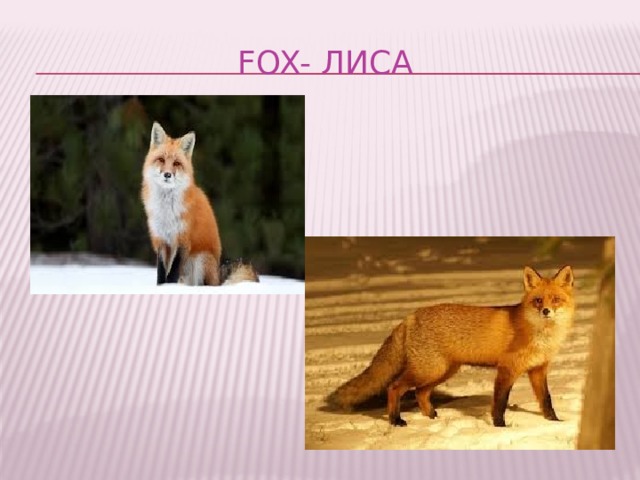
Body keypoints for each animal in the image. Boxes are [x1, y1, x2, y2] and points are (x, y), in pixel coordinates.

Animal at [141, 122, 258, 286]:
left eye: (176, 163)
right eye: (161, 160)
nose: (167, 174)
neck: (167, 210)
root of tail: (217, 277)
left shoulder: (183, 240)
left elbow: (172, 274)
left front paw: (169, 288)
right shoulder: (161, 240)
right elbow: (161, 273)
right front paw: (161, 288)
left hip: (201, 259)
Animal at [327, 265, 576, 427]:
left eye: (555, 300)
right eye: (538, 301)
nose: (546, 311)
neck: (541, 335)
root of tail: (411, 316)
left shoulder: (538, 370)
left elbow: (546, 400)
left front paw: (555, 422)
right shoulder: (507, 369)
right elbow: (500, 403)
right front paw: (499, 427)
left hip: (442, 371)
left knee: (420, 393)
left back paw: (432, 417)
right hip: (429, 370)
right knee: (394, 387)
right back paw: (396, 420)